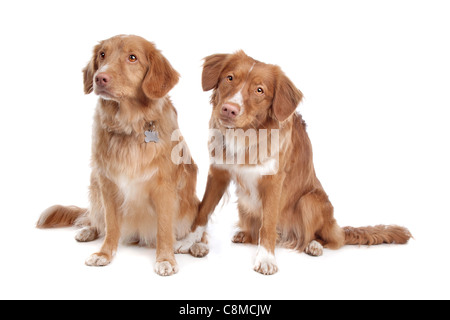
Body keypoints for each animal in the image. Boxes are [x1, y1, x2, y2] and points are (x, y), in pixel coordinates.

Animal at [37, 34, 207, 276]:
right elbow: (111, 226)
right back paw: (89, 230)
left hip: (192, 205)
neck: (130, 126)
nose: (99, 77)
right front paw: (104, 254)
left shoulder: (165, 189)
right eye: (102, 55)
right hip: (94, 186)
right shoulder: (107, 184)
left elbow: (165, 229)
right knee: (95, 218)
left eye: (132, 57)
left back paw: (198, 246)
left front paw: (165, 259)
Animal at [179, 52, 412, 276]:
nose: (229, 109)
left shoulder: (274, 182)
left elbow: (268, 225)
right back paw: (244, 235)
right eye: (229, 78)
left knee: (330, 239)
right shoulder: (218, 173)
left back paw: (314, 245)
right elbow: (202, 212)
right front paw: (189, 241)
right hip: (245, 206)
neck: (246, 135)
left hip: (310, 201)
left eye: (259, 90)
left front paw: (266, 258)